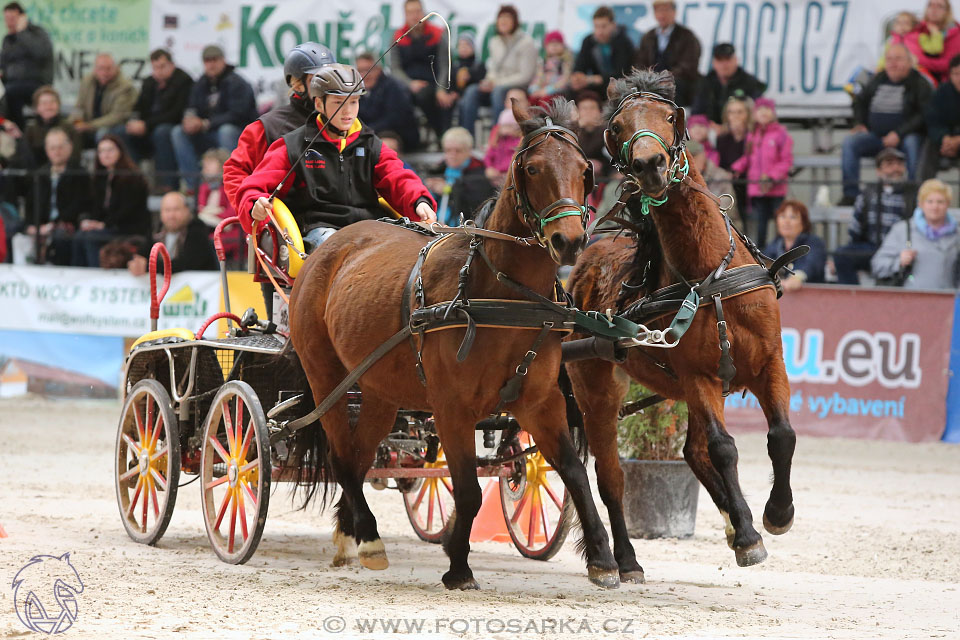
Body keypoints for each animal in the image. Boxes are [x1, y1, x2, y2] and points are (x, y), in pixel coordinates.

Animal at [286, 99, 624, 592]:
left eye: (585, 170)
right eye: (533, 168)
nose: (569, 241)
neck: (498, 297)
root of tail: (328, 250)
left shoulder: (541, 402)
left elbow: (575, 473)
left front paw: (603, 558)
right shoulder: (451, 408)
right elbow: (468, 490)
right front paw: (458, 565)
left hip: (379, 391)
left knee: (358, 456)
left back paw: (352, 534)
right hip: (325, 375)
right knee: (341, 457)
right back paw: (369, 539)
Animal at [564, 71, 796, 584]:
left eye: (670, 116)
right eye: (617, 128)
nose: (650, 164)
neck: (709, 277)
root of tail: (581, 268)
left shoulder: (770, 363)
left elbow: (782, 436)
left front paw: (776, 514)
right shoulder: (700, 377)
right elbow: (724, 448)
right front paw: (750, 534)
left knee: (691, 453)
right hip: (598, 390)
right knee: (612, 477)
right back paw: (621, 560)